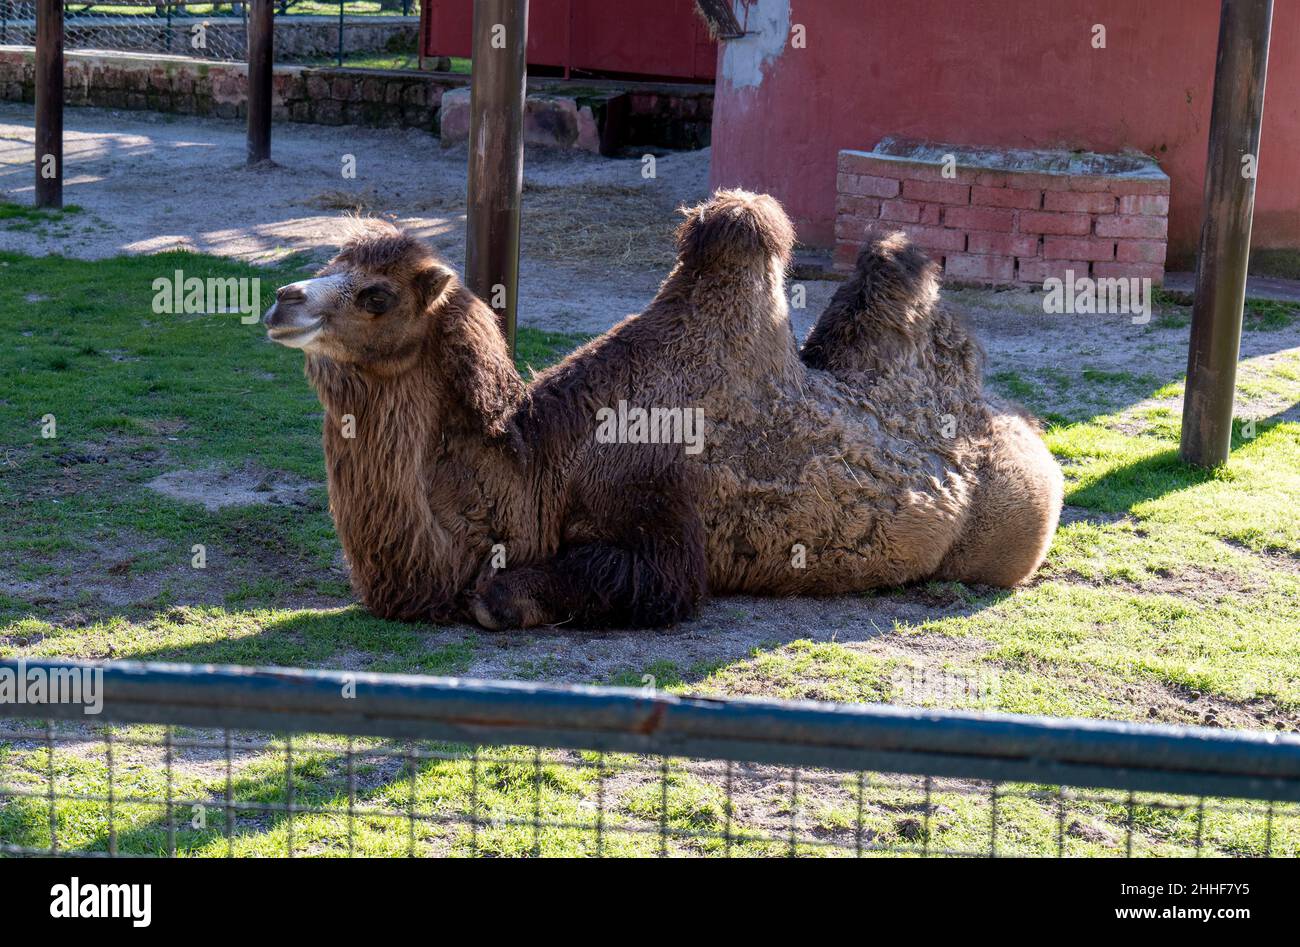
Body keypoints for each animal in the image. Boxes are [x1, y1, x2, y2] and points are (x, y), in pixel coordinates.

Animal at [263, 190, 1062, 629]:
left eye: (376, 295)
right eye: (328, 265)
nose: (282, 299)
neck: (537, 468)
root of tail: (1021, 427)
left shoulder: (659, 517)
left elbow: (519, 594)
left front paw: (500, 595)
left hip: (1012, 535)